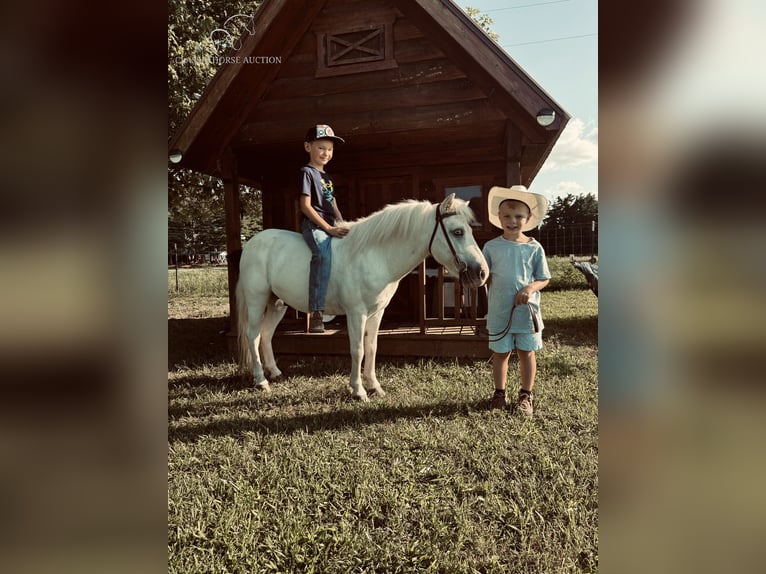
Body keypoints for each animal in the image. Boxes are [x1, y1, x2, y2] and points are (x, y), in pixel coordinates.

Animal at [236, 194, 486, 400]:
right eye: (457, 231)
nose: (482, 272)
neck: (374, 255)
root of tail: (252, 244)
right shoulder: (357, 313)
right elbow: (358, 349)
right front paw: (358, 390)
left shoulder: (377, 313)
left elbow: (372, 347)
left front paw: (374, 386)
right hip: (257, 301)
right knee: (253, 336)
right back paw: (261, 381)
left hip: (277, 303)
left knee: (266, 335)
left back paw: (275, 372)